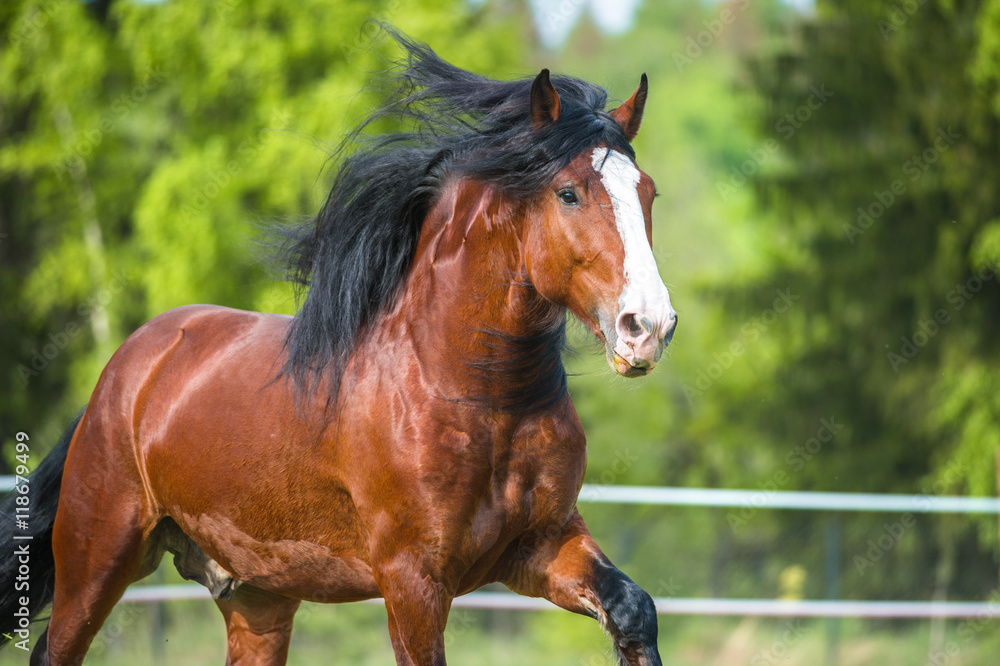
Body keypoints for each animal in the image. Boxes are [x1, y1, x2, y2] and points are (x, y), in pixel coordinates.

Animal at [0, 32, 677, 666]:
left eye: (648, 192)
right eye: (568, 193)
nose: (648, 327)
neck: (475, 396)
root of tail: (129, 366)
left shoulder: (539, 546)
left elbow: (633, 608)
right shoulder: (412, 580)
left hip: (258, 595)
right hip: (99, 554)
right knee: (56, 648)